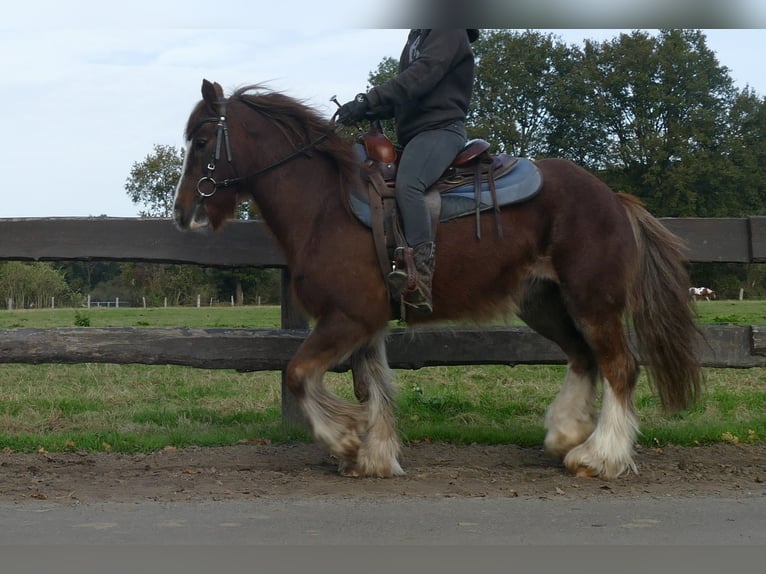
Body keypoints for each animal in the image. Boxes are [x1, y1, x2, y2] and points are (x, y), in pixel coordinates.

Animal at [174, 81, 704, 484]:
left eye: (201, 142)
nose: (183, 214)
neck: (326, 205)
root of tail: (613, 197)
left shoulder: (347, 318)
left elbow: (299, 374)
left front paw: (344, 440)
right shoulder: (366, 323)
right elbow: (371, 388)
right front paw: (373, 456)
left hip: (594, 301)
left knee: (619, 367)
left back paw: (600, 456)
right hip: (544, 303)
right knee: (583, 358)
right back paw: (566, 434)